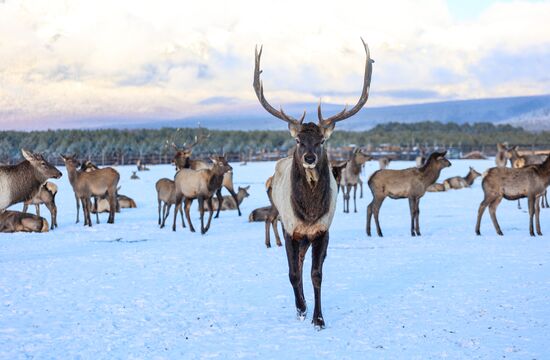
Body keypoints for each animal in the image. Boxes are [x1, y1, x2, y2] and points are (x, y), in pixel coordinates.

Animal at [254, 38, 376, 330]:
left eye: (321, 140)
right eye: (299, 140)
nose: (309, 157)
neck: (308, 211)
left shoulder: (322, 231)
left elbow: (316, 274)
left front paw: (318, 318)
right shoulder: (290, 228)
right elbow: (292, 273)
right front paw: (301, 309)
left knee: (303, 264)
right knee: (295, 266)